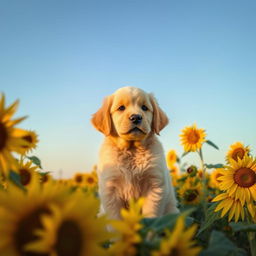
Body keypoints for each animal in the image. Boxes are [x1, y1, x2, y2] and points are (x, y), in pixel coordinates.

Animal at [91, 87, 178, 219]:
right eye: (121, 108)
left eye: (144, 108)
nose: (136, 117)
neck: (132, 150)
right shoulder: (110, 188)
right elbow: (115, 219)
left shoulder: (155, 185)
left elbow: (150, 216)